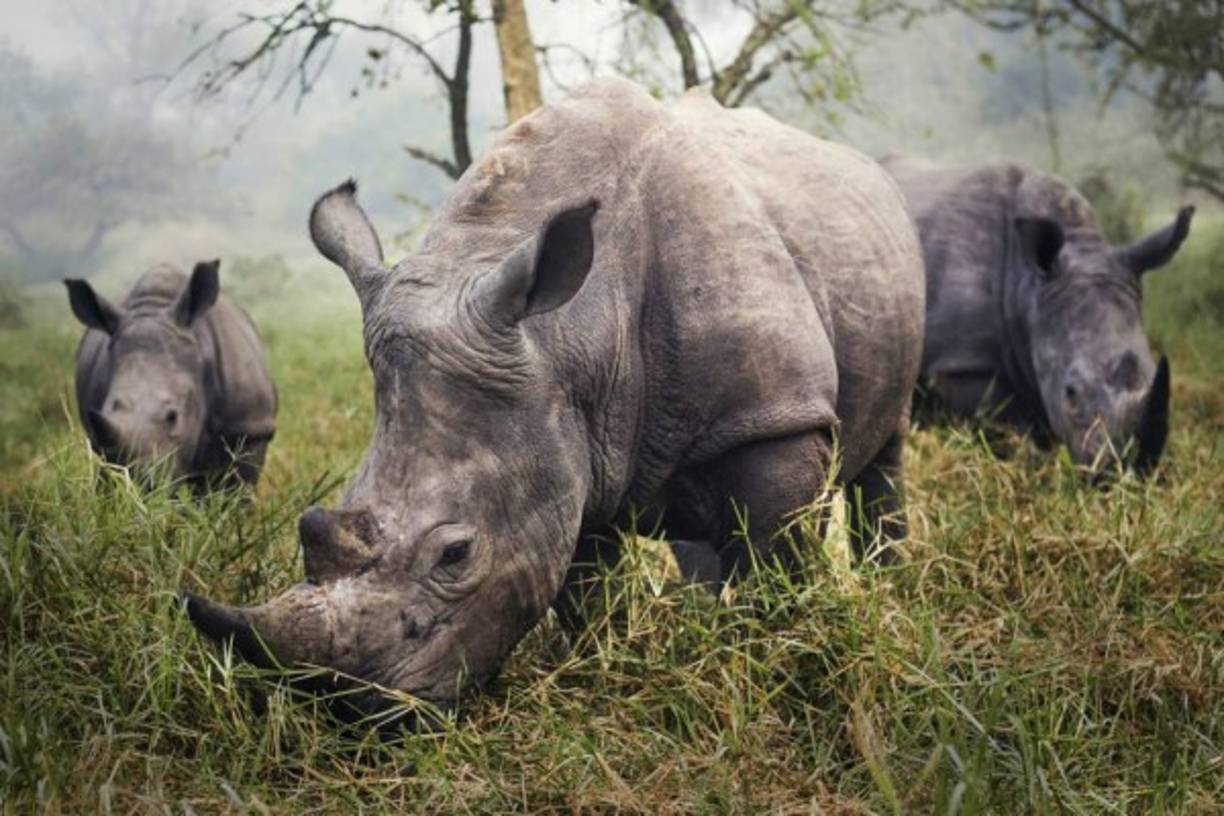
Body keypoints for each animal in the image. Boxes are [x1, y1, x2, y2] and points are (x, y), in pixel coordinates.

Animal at [185, 78, 925, 711]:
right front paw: (601, 670)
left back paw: (884, 584)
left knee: (880, 453)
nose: (355, 710)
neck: (569, 334)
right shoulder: (569, 440)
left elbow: (772, 561)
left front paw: (765, 665)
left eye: (456, 554)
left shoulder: (775, 416)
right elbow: (581, 586)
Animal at [880, 155, 1191, 473]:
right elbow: (997, 422)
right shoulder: (962, 362)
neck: (1030, 288)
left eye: (1153, 373)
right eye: (1071, 392)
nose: (1132, 468)